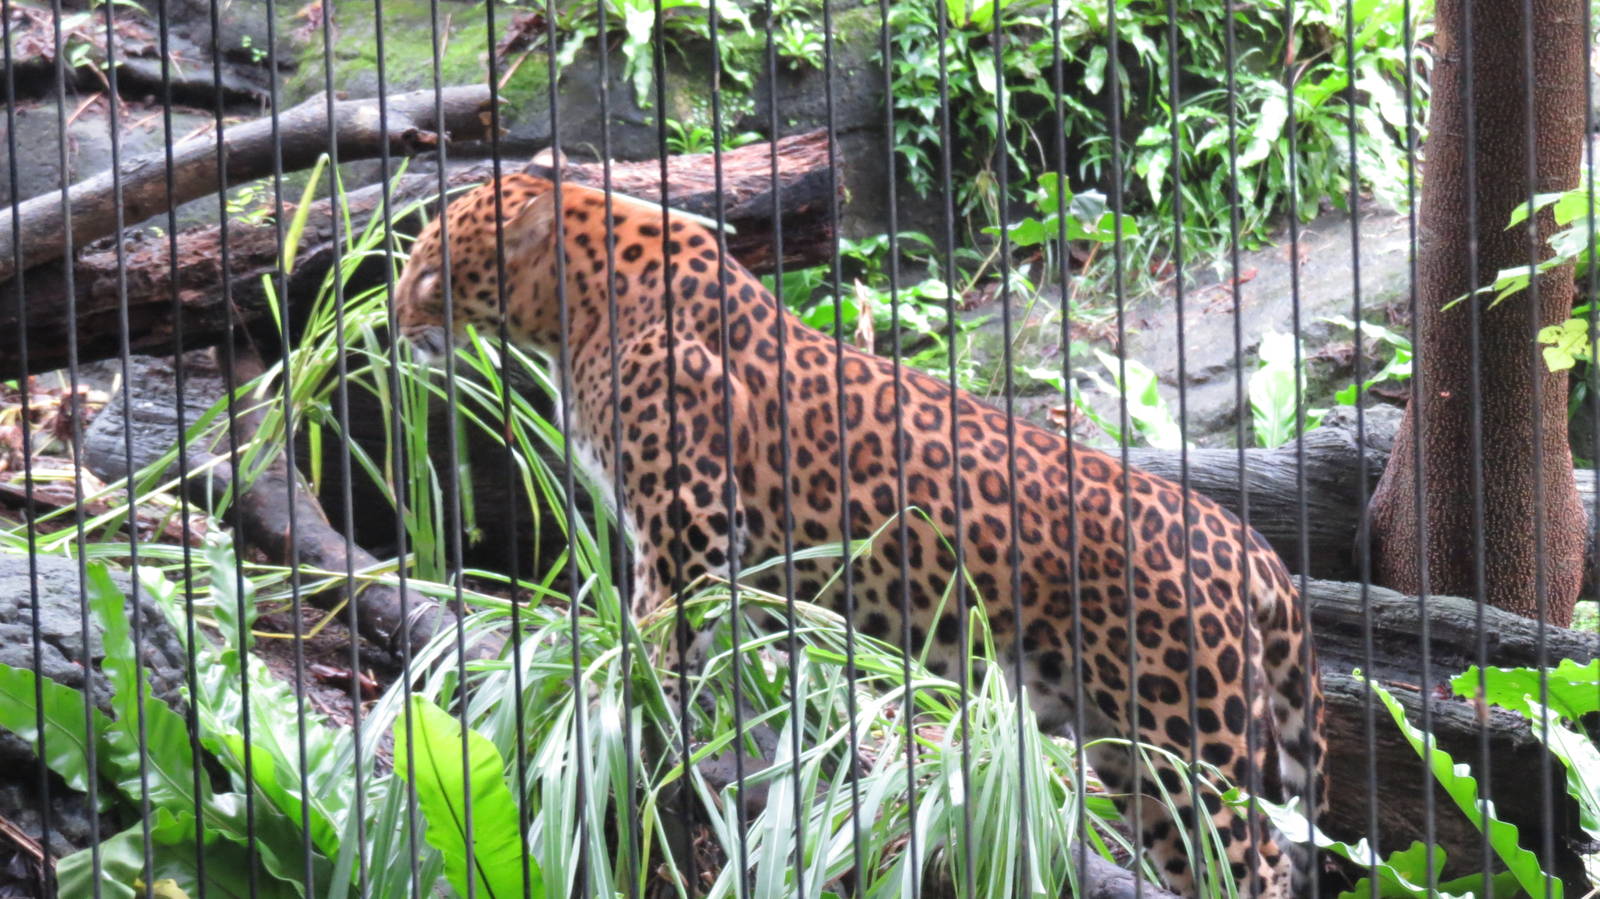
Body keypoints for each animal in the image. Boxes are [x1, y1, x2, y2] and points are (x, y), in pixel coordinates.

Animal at [394, 173, 1328, 897]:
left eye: (429, 270)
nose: (396, 326)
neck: (576, 308)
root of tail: (1248, 544)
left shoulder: (688, 525)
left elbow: (656, 631)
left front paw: (624, 695)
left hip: (1185, 734)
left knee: (1261, 858)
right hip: (1124, 744)